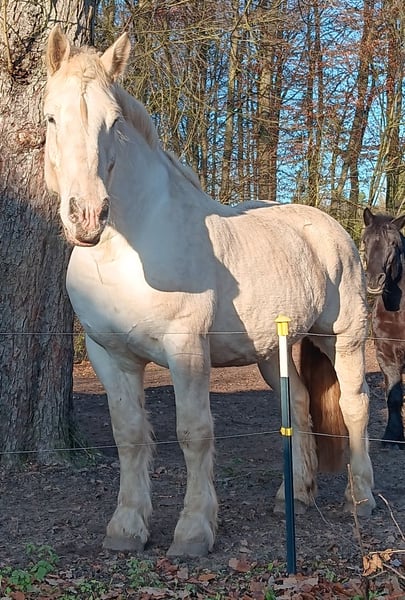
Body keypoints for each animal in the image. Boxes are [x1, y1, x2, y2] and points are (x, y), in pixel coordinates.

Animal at [43, 26, 375, 557]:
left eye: (114, 122)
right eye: (52, 117)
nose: (87, 216)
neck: (126, 253)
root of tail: (330, 229)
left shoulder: (186, 349)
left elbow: (193, 433)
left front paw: (194, 530)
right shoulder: (109, 354)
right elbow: (128, 434)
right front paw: (126, 528)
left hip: (343, 338)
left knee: (354, 405)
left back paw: (360, 499)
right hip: (272, 351)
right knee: (300, 406)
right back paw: (296, 496)